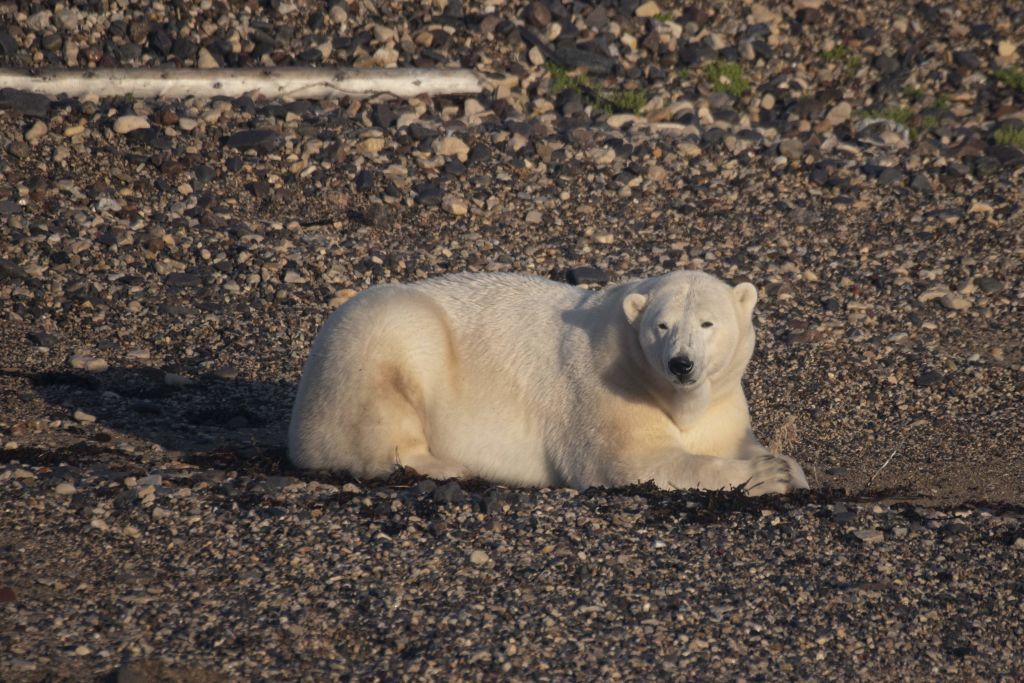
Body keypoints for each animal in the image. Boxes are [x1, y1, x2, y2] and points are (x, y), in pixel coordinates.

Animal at [288, 270, 809, 494]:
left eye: (707, 323)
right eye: (661, 325)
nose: (681, 364)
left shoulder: (722, 402)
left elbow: (728, 439)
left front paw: (787, 467)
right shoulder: (608, 391)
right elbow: (631, 461)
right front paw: (768, 476)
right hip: (378, 338)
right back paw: (448, 465)